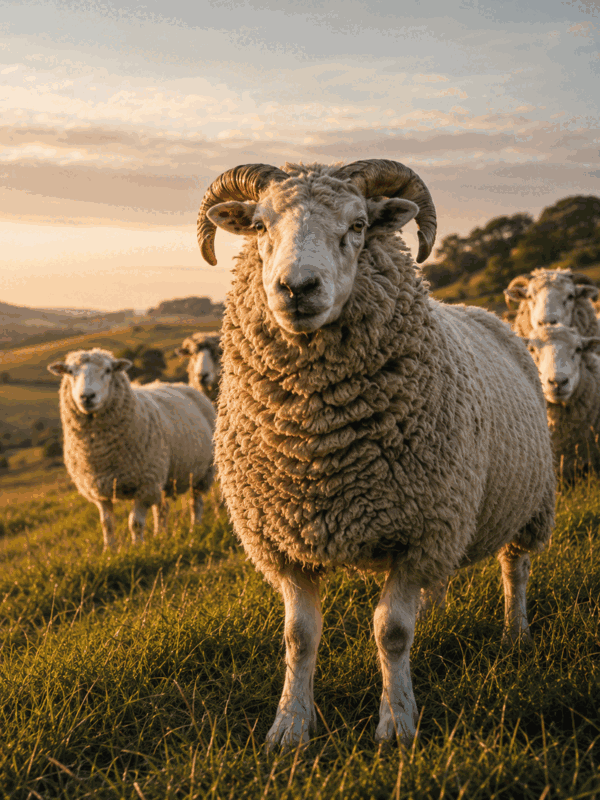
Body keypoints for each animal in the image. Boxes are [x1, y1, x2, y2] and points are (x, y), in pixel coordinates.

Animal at [48, 348, 216, 549]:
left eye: (108, 370)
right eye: (70, 372)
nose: (87, 396)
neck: (100, 452)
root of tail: (184, 385)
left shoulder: (145, 486)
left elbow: (135, 523)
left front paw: (137, 548)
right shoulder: (99, 490)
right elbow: (107, 524)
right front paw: (109, 550)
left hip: (202, 473)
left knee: (195, 503)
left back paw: (194, 528)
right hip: (161, 476)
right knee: (162, 508)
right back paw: (161, 535)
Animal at [196, 159, 555, 747]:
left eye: (359, 225)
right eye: (260, 226)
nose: (297, 288)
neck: (319, 443)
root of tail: (480, 311)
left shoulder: (418, 532)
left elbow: (391, 632)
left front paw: (397, 724)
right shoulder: (286, 542)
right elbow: (299, 637)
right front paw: (290, 726)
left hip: (527, 503)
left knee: (515, 569)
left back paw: (516, 633)